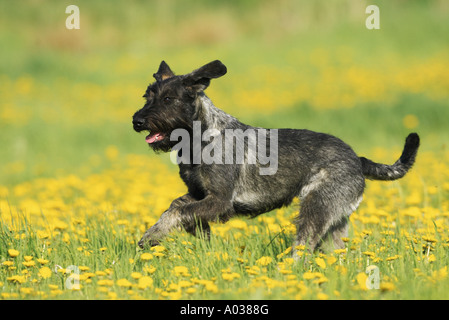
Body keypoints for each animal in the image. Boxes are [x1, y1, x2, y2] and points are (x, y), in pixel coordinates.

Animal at [131, 60, 418, 254]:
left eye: (168, 99)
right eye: (147, 96)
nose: (137, 121)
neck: (199, 138)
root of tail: (357, 159)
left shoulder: (219, 201)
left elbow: (179, 212)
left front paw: (152, 238)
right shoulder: (198, 195)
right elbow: (175, 208)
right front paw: (158, 235)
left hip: (315, 209)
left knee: (303, 248)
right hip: (335, 221)